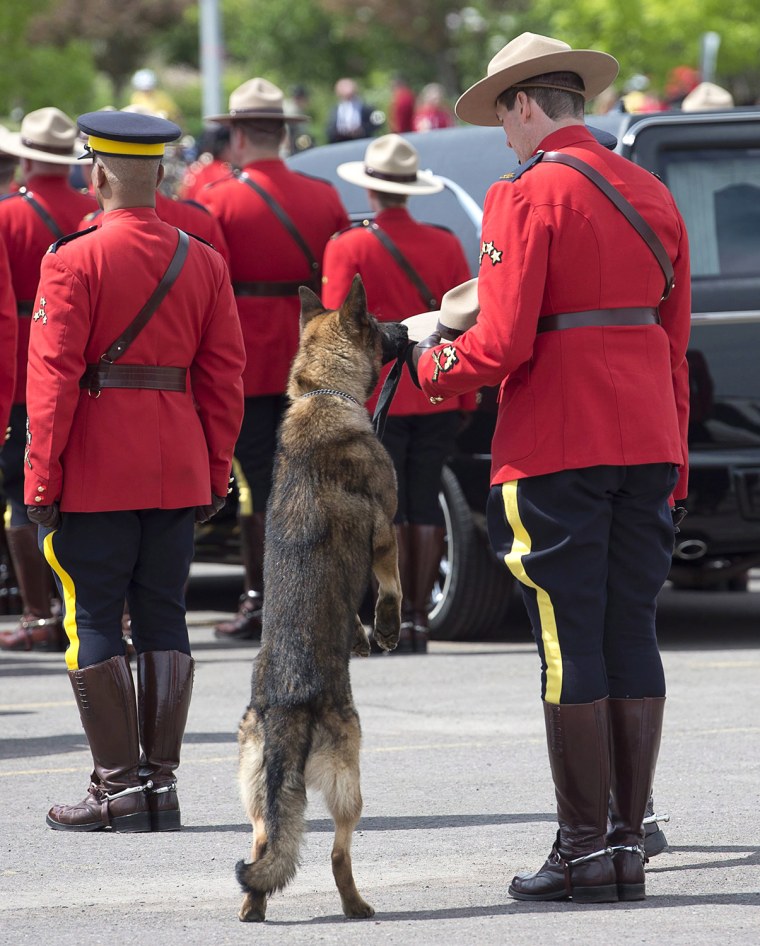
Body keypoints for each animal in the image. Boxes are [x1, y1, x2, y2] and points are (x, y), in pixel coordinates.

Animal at [238, 274, 404, 920]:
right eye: (379, 322)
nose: (408, 329)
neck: (321, 394)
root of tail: (288, 708)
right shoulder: (386, 531)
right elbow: (391, 583)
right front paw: (389, 626)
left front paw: (364, 634)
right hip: (349, 777)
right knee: (335, 853)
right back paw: (357, 906)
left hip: (258, 790)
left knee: (266, 844)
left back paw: (252, 907)